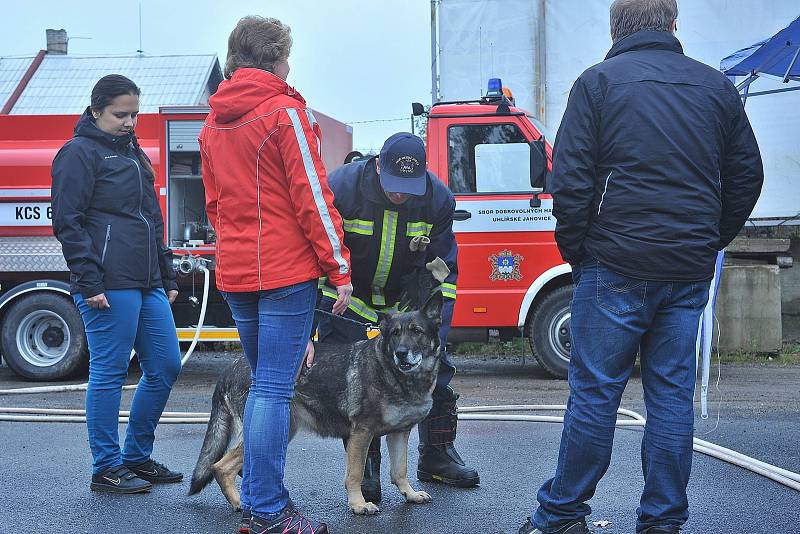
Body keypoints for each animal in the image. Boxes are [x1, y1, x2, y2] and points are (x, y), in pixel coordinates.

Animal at [191, 274, 446, 516]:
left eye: (417, 332)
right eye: (394, 334)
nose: (401, 354)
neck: (394, 373)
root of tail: (231, 367)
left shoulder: (399, 433)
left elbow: (400, 470)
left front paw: (410, 494)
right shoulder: (361, 433)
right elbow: (354, 474)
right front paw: (358, 504)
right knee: (221, 467)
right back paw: (240, 503)